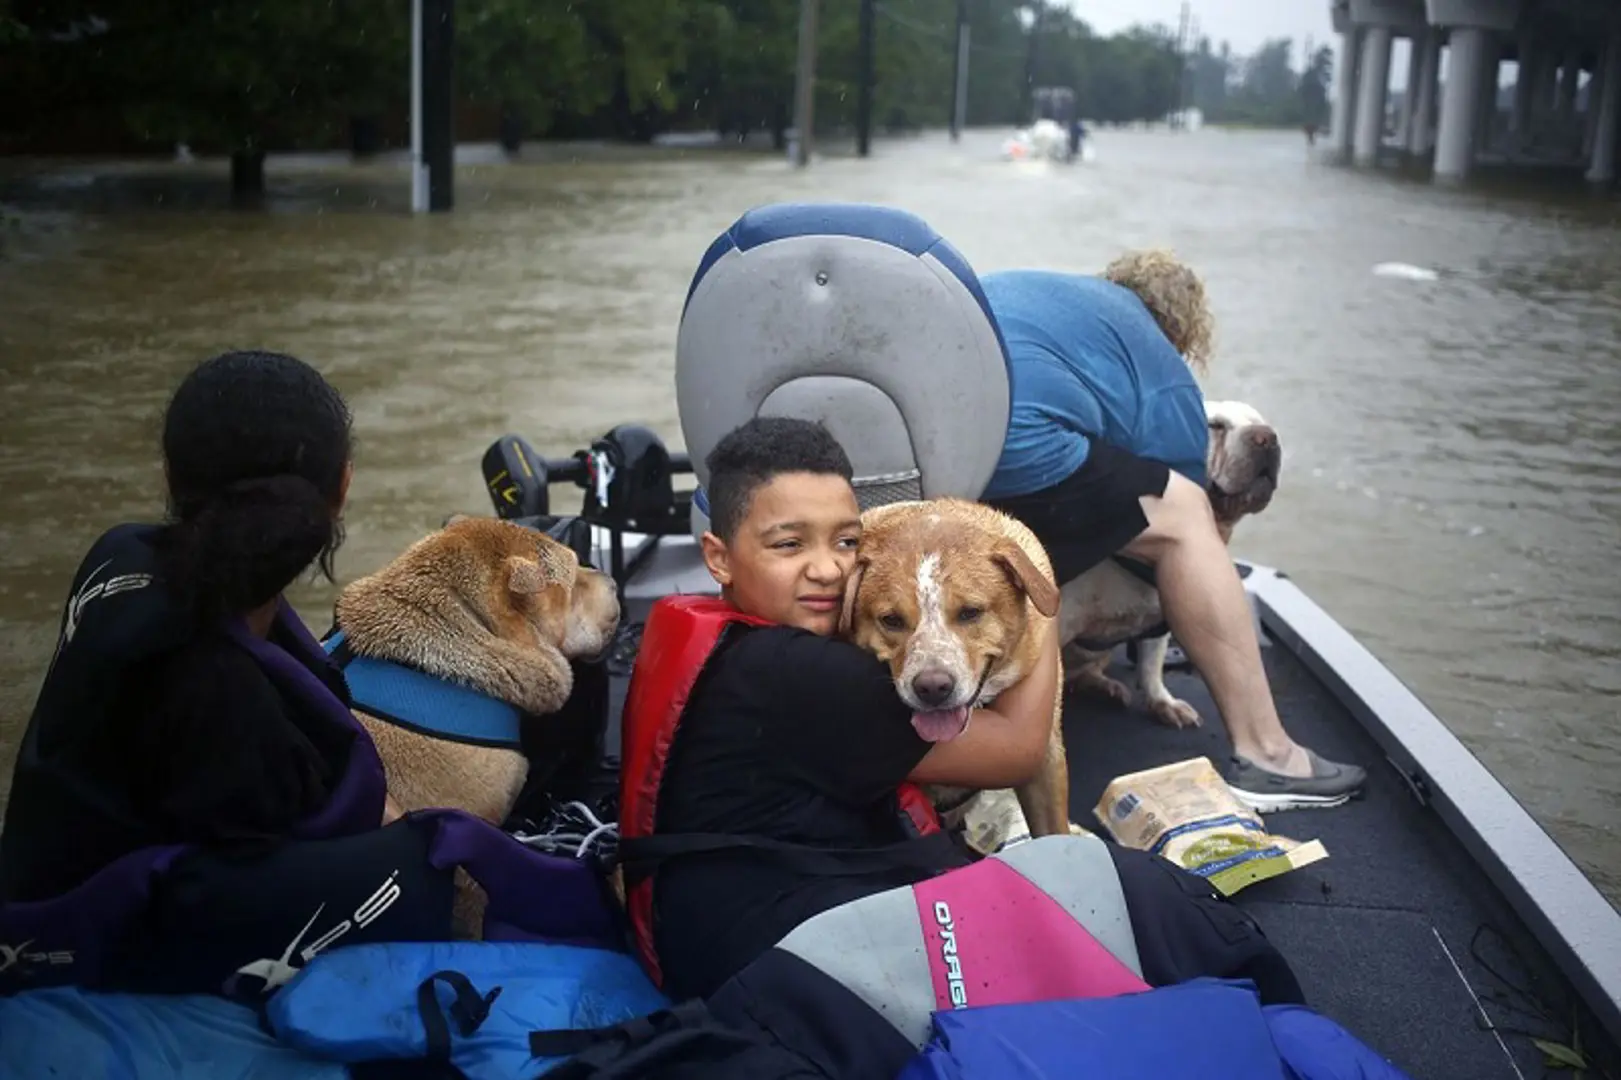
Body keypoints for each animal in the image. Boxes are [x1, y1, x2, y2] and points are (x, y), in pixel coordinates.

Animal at [1056, 398, 1283, 726]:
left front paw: (1162, 702)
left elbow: (1151, 665)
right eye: (1215, 425)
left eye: (1261, 422)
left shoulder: (1159, 621)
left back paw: (1102, 686)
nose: (1267, 436)